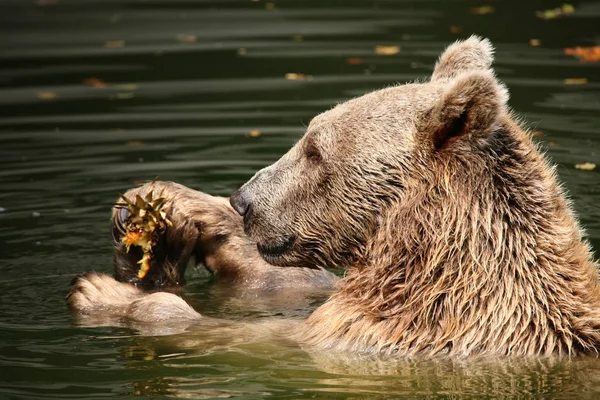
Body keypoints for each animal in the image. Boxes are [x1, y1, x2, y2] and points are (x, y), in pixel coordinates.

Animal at [67, 36, 600, 356]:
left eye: (314, 149)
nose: (245, 200)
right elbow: (292, 284)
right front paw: (174, 212)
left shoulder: (405, 331)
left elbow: (252, 339)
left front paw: (105, 294)